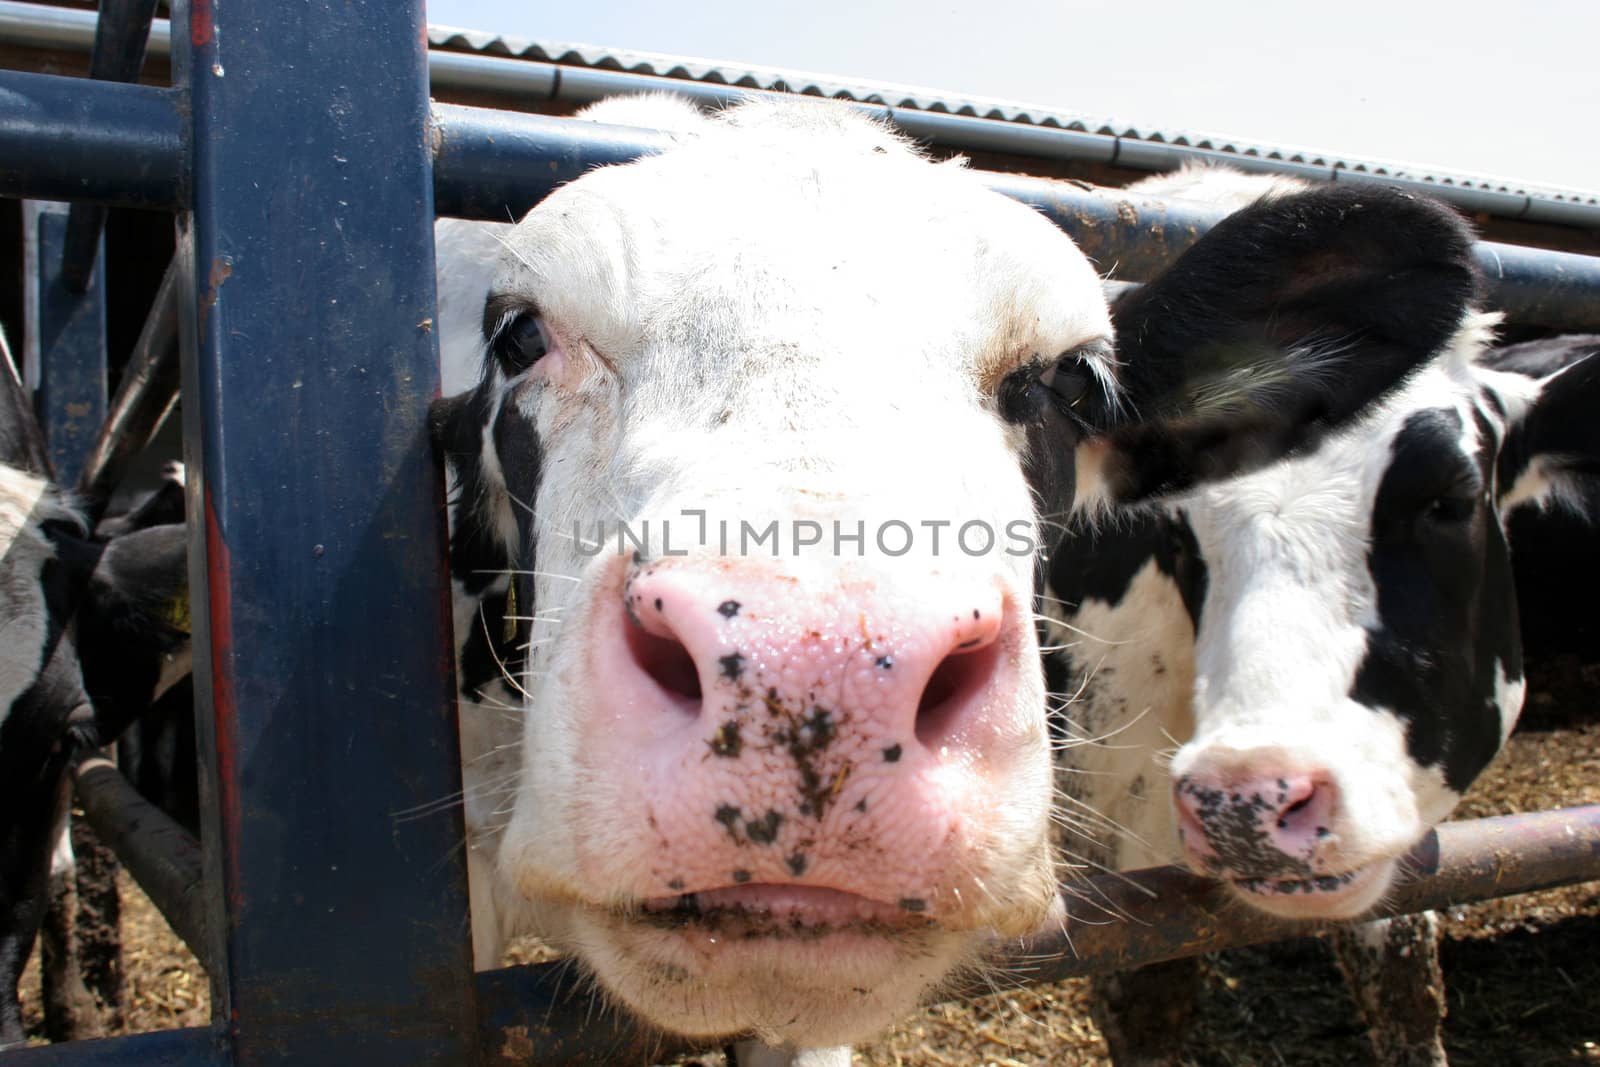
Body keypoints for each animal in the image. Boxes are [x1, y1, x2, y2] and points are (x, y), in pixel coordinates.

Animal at [1043, 163, 1600, 1062]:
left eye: (1449, 499)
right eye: (1176, 527)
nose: (1248, 800)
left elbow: (1404, 982)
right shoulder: (1117, 837)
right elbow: (1147, 995)